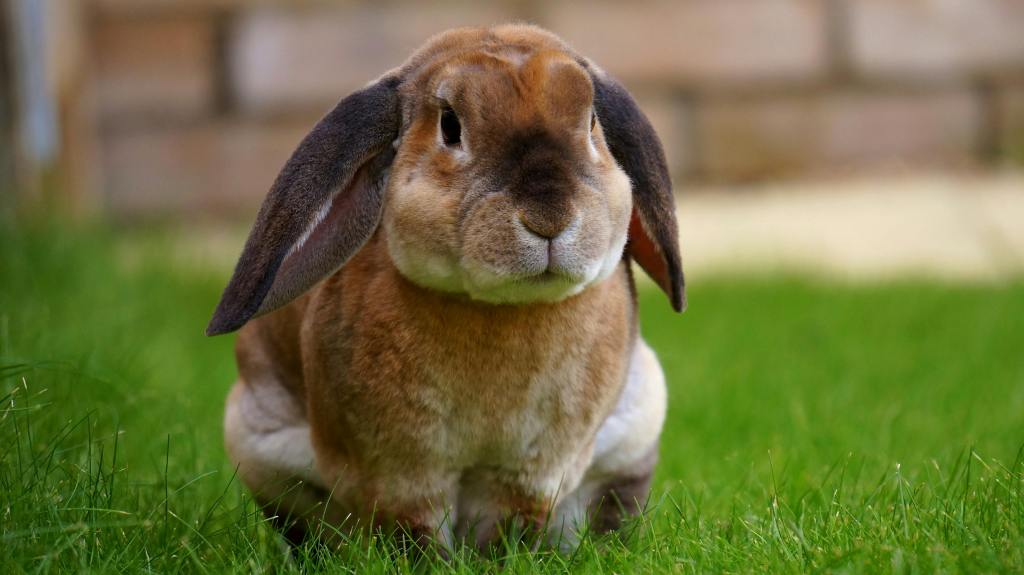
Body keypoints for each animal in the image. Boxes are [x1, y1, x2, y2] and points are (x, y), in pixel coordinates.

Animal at [209, 24, 684, 553]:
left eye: (592, 121)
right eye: (450, 126)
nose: (549, 217)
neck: (500, 309)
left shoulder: (529, 474)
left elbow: (509, 525)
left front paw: (500, 558)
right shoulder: (401, 474)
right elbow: (414, 531)